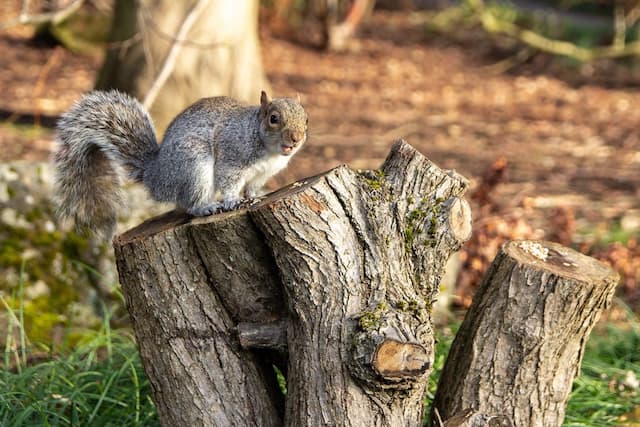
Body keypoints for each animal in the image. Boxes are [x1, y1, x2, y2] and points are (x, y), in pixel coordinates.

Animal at [52, 90, 308, 239]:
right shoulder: (231, 157)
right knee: (190, 203)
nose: (296, 139)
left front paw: (256, 197)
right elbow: (228, 180)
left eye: (306, 119)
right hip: (194, 166)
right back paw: (206, 207)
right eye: (274, 119)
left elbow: (253, 187)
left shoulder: (263, 173)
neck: (269, 152)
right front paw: (232, 201)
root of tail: (155, 176)